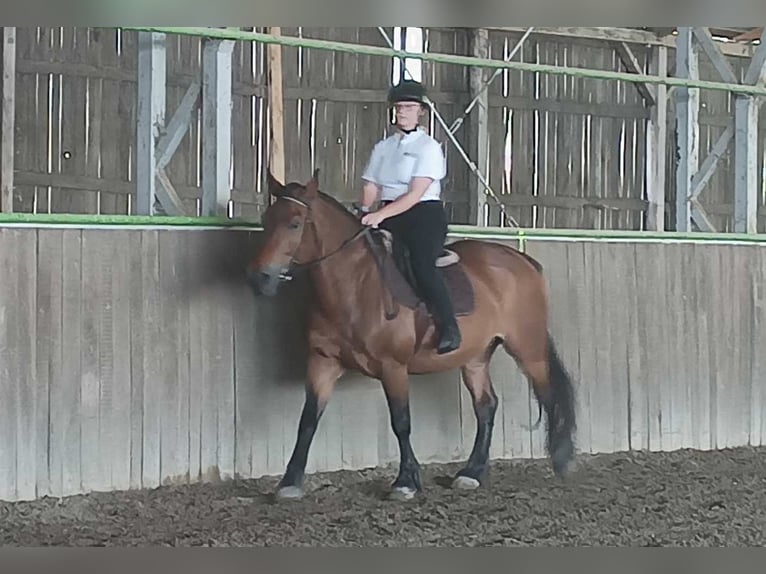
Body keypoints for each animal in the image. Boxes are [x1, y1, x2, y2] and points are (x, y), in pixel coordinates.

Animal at [246, 169, 576, 502]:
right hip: (476, 357)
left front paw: (405, 481)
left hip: (527, 348)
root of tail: (522, 262)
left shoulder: (393, 366)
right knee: (486, 406)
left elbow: (400, 422)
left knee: (548, 394)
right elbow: (308, 420)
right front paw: (290, 482)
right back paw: (471, 473)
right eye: (265, 219)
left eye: (295, 223)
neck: (355, 285)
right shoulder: (323, 362)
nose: (259, 278)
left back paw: (561, 461)